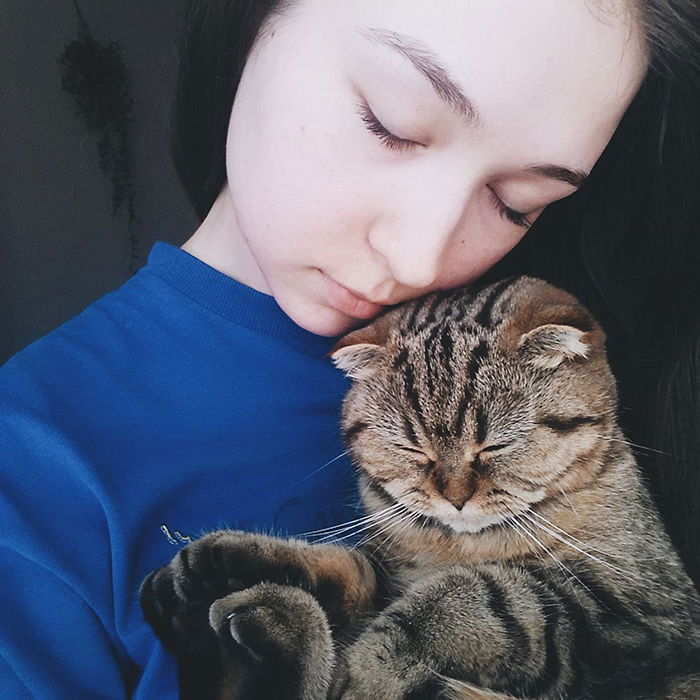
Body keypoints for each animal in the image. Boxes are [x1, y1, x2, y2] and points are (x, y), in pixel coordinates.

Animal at [142, 278, 700, 700]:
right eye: (412, 448)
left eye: (495, 445)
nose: (455, 497)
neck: (453, 543)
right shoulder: (389, 570)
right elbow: (348, 566)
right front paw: (229, 557)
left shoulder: (638, 607)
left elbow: (474, 596)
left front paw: (366, 669)